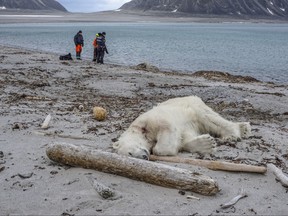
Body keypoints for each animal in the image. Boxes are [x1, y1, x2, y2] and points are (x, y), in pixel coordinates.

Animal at [112, 95, 250, 159]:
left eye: (130, 152)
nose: (144, 157)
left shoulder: (151, 120)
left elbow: (165, 133)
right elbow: (184, 138)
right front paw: (207, 144)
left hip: (193, 105)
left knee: (209, 118)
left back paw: (234, 133)